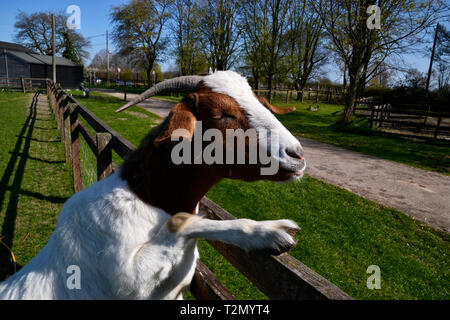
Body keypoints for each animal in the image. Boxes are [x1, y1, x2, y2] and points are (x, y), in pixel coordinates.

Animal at [0, 70, 306, 300]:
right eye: (221, 113)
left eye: (259, 101)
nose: (297, 155)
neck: (144, 196)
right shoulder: (128, 279)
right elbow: (181, 222)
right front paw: (269, 232)